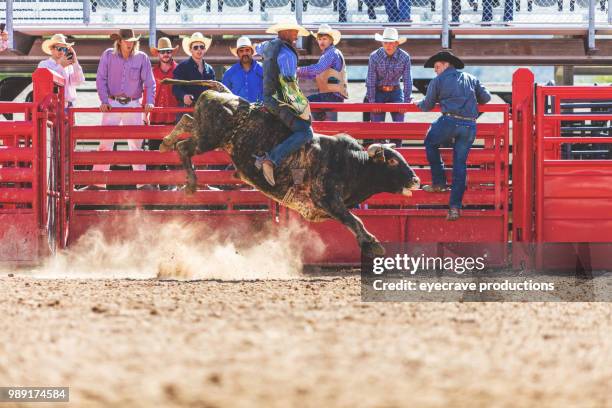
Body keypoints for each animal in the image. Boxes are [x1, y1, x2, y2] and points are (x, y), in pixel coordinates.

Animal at [158, 79, 420, 256]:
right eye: (393, 161)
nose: (416, 180)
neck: (352, 163)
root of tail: (225, 94)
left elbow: (352, 219)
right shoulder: (326, 199)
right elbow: (354, 220)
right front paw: (373, 244)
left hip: (205, 132)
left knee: (186, 122)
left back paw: (165, 143)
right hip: (209, 138)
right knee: (184, 147)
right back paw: (191, 183)